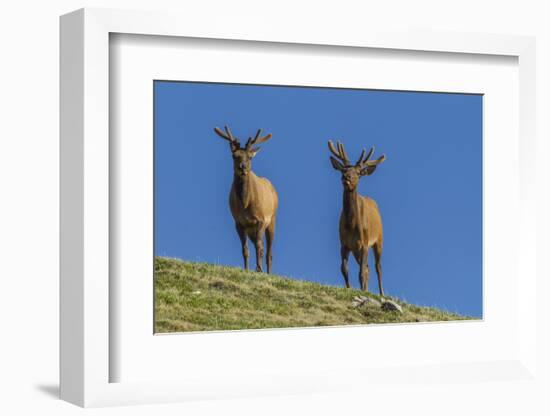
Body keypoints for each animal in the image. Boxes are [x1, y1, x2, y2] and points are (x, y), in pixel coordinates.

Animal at [213, 126, 278, 272]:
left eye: (249, 157)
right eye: (234, 156)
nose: (242, 167)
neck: (245, 204)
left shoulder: (261, 219)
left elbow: (259, 246)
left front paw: (258, 269)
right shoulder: (239, 223)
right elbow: (245, 249)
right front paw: (247, 269)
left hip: (272, 220)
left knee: (269, 252)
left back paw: (268, 272)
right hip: (251, 230)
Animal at [328, 141, 388, 294]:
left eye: (358, 173)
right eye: (343, 170)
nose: (346, 177)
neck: (352, 225)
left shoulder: (364, 243)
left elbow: (361, 272)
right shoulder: (344, 244)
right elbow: (344, 269)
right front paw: (349, 288)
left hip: (379, 239)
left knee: (378, 267)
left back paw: (381, 293)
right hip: (356, 250)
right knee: (368, 268)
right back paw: (366, 289)